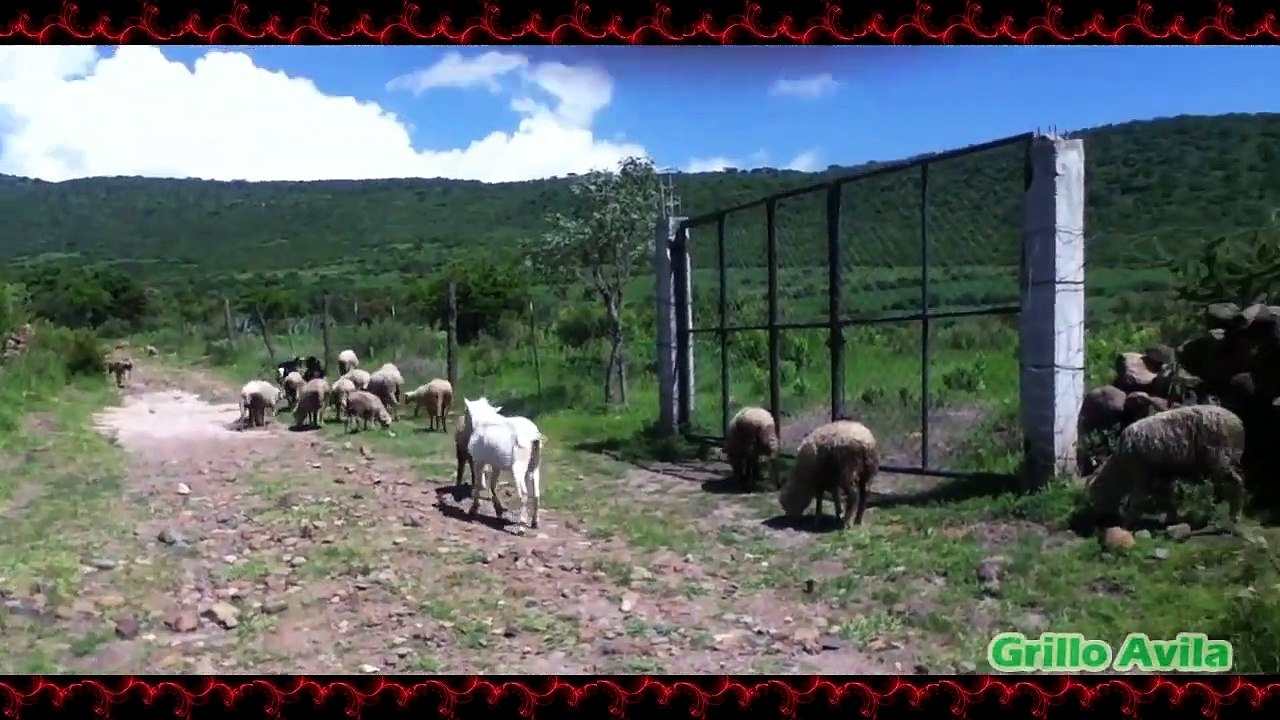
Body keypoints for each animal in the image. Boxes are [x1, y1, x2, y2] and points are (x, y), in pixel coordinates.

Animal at [463, 397, 545, 529]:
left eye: (466, 410)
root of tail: (533, 436)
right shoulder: (496, 465)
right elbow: (492, 485)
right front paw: (499, 510)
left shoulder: (478, 461)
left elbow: (479, 484)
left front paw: (473, 509)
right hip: (534, 464)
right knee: (536, 492)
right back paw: (535, 522)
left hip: (518, 466)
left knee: (524, 494)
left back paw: (522, 525)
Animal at [1086, 404, 1247, 528]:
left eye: (1096, 494)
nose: (1098, 519)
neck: (1121, 468)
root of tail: (1239, 423)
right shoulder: (1162, 475)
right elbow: (1167, 498)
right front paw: (1171, 518)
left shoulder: (1142, 474)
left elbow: (1137, 500)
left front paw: (1126, 523)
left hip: (1221, 459)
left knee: (1237, 482)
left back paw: (1235, 516)